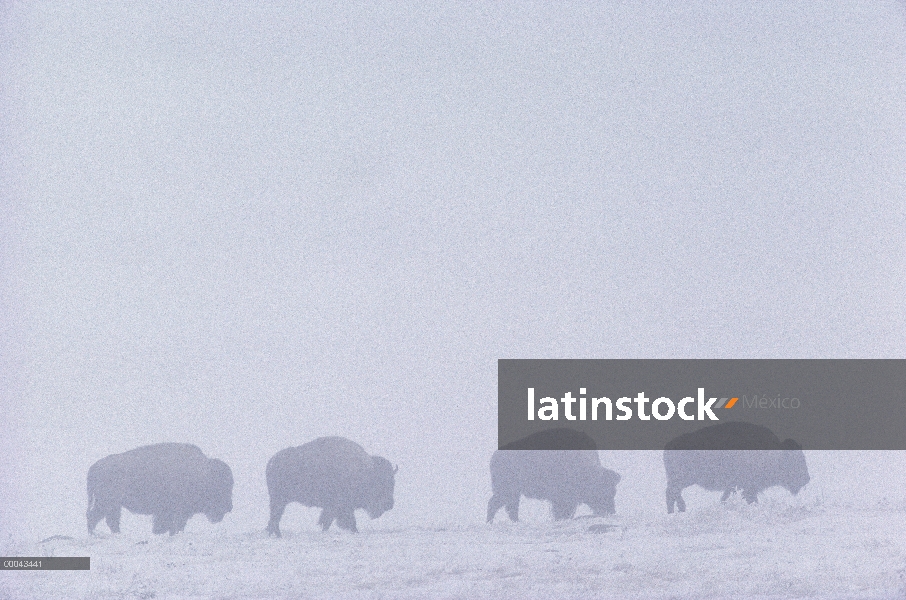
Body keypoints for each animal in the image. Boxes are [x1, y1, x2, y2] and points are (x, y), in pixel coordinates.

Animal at [86, 442, 233, 536]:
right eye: (220, 487)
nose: (229, 507)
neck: (202, 475)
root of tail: (95, 467)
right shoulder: (176, 510)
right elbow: (173, 524)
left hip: (112, 504)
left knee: (106, 518)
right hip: (108, 503)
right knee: (98, 517)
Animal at [266, 434, 398, 536]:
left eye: (393, 482)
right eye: (381, 483)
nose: (389, 504)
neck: (364, 472)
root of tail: (272, 461)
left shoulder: (333, 507)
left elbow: (328, 521)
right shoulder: (341, 506)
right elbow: (346, 521)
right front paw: (355, 532)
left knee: (274, 518)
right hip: (279, 500)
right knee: (275, 517)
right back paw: (277, 535)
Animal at [488, 428, 620, 524]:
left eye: (614, 491)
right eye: (604, 491)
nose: (611, 511)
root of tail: (495, 456)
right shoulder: (562, 498)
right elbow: (561, 511)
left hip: (513, 492)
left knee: (509, 506)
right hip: (507, 490)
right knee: (497, 503)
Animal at [660, 420, 808, 512]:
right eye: (794, 461)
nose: (807, 478)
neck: (774, 455)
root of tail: (668, 446)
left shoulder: (734, 487)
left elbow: (725, 498)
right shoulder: (747, 487)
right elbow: (750, 499)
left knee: (674, 493)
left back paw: (680, 510)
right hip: (683, 479)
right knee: (671, 493)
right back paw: (676, 511)